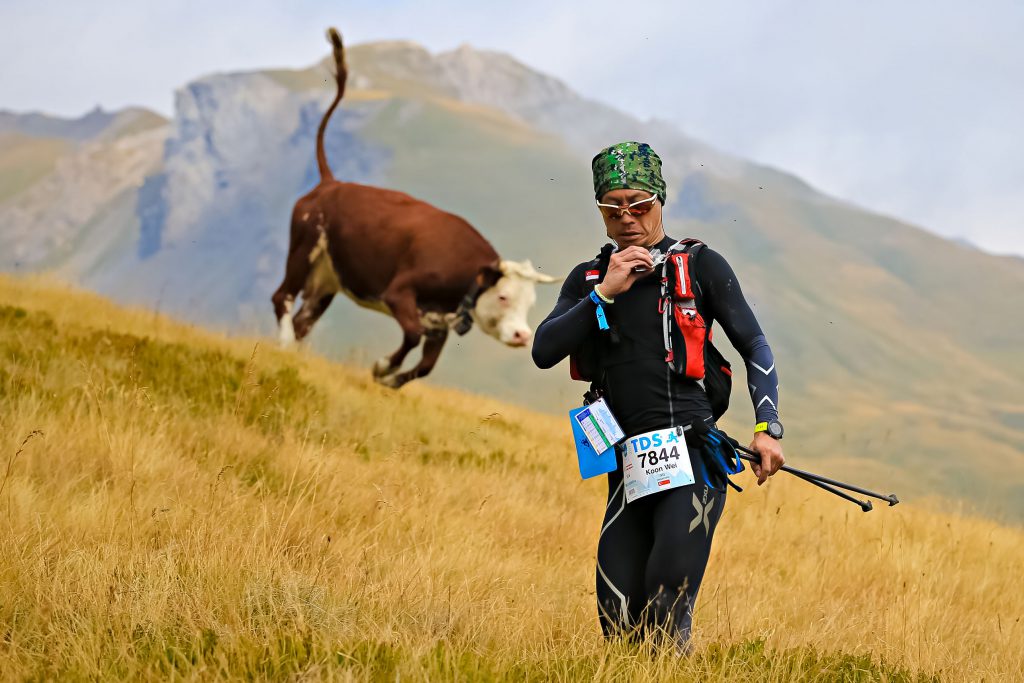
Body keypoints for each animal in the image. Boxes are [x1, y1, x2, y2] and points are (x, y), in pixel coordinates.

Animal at [272, 26, 557, 387]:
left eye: (531, 302)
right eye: (504, 296)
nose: (522, 335)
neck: (461, 279)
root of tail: (330, 183)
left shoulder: (439, 324)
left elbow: (427, 364)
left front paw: (390, 379)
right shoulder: (398, 294)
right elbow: (411, 334)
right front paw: (382, 366)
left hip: (326, 278)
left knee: (303, 321)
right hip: (304, 248)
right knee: (282, 298)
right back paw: (282, 344)